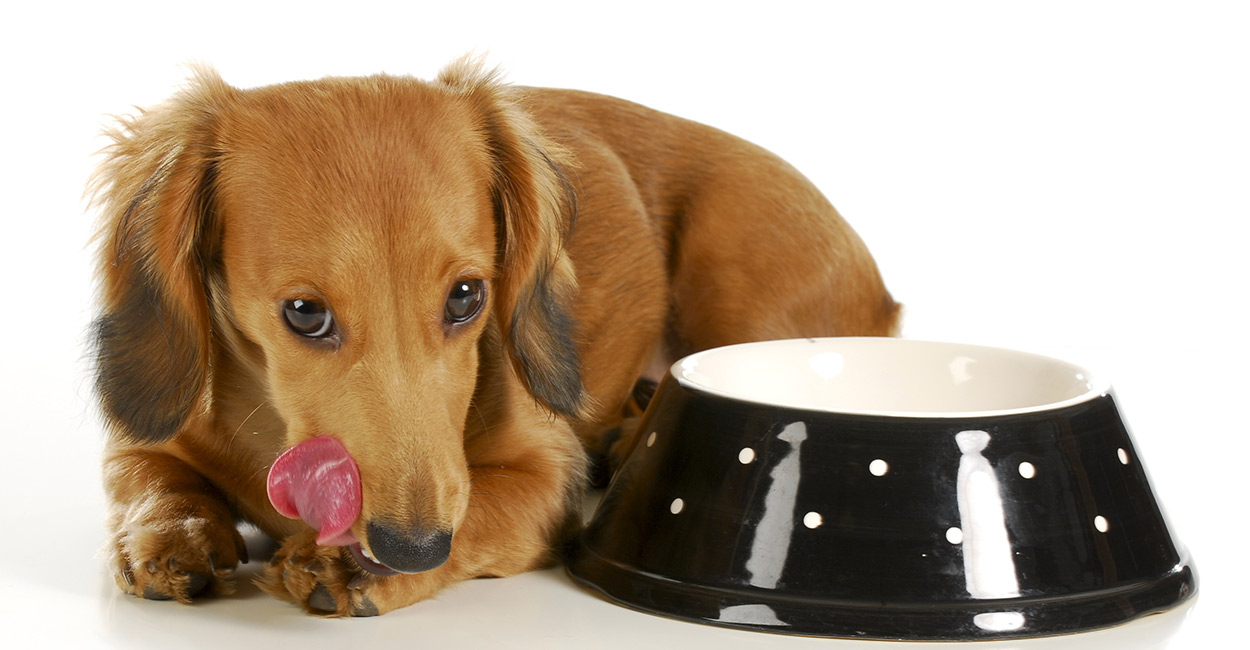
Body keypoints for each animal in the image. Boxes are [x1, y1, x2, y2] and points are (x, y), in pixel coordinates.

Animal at [90, 58, 900, 617]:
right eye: (302, 313)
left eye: (466, 296)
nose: (410, 548)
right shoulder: (146, 440)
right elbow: (151, 485)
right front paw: (169, 535)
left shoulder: (545, 474)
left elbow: (484, 508)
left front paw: (352, 567)